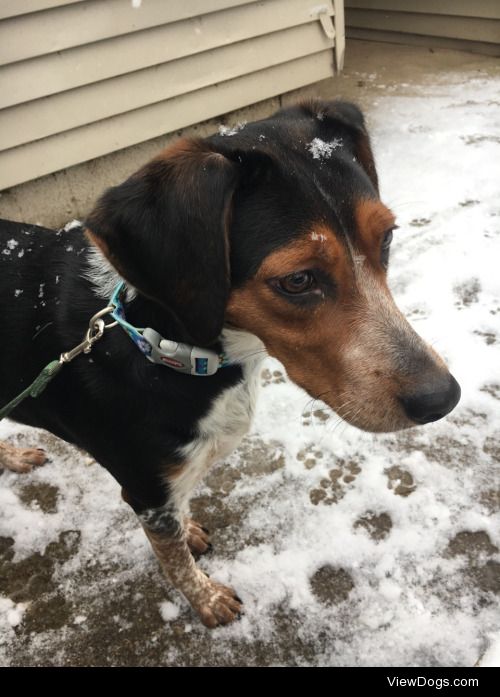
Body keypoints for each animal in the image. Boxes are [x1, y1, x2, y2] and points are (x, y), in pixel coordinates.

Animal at [0, 100, 460, 628]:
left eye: (386, 238)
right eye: (298, 280)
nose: (443, 398)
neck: (165, 349)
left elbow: (177, 528)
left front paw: (189, 532)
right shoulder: (146, 489)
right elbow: (173, 558)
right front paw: (207, 598)